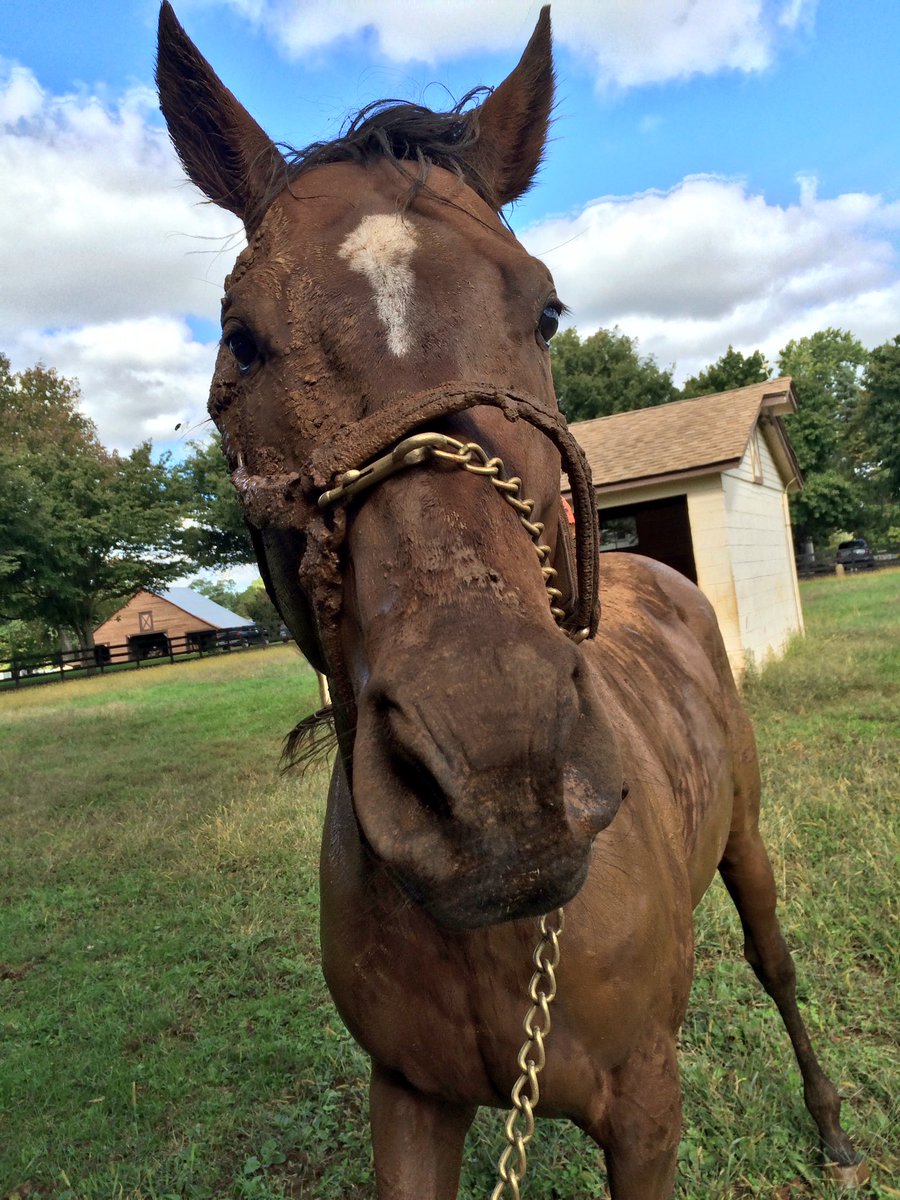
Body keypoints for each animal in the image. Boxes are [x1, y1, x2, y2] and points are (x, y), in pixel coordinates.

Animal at [156, 6, 866, 1196]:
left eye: (545, 311)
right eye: (240, 340)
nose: (498, 769)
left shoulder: (648, 1108)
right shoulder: (408, 1101)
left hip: (748, 842)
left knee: (777, 963)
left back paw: (831, 1123)